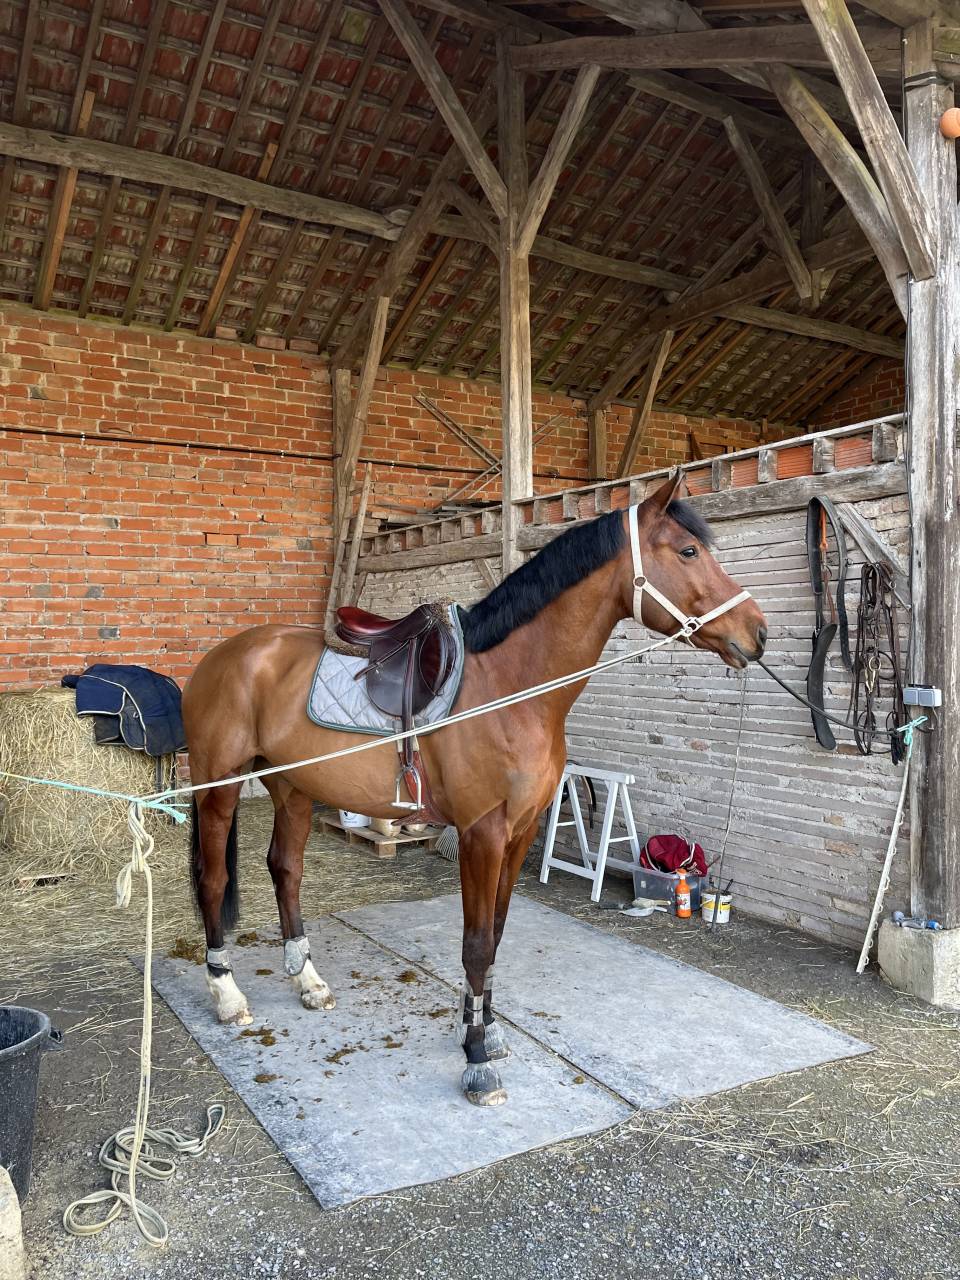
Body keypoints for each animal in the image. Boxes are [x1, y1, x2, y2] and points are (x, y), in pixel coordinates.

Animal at [182, 470, 767, 1106]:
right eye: (688, 552)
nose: (757, 632)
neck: (511, 685)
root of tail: (223, 656)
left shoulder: (520, 832)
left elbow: (497, 934)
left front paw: (484, 1031)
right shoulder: (481, 832)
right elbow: (477, 943)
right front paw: (478, 1059)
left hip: (292, 785)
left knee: (285, 869)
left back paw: (309, 981)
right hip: (219, 786)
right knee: (214, 880)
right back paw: (226, 995)